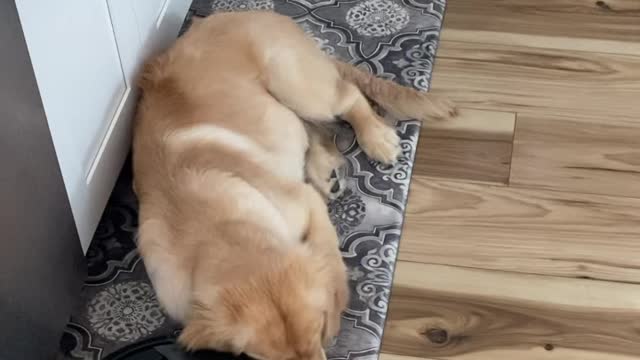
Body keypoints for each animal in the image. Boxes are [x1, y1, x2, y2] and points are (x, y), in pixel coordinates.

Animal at [134, 10, 456, 360]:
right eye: (268, 359)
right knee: (309, 128)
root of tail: (253, 13)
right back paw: (325, 171)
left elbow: (327, 251)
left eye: (319, 331)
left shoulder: (303, 202)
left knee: (348, 98)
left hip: (293, 81)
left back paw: (376, 139)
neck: (217, 229)